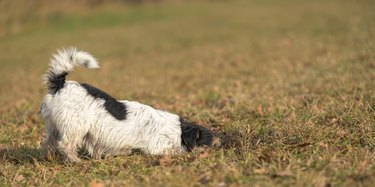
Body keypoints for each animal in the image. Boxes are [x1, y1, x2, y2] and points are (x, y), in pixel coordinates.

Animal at [40, 47, 214, 162]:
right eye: (208, 140)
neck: (179, 131)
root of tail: (60, 85)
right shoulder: (158, 146)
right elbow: (174, 151)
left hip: (54, 127)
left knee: (48, 143)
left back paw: (49, 157)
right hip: (75, 126)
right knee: (65, 145)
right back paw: (75, 160)